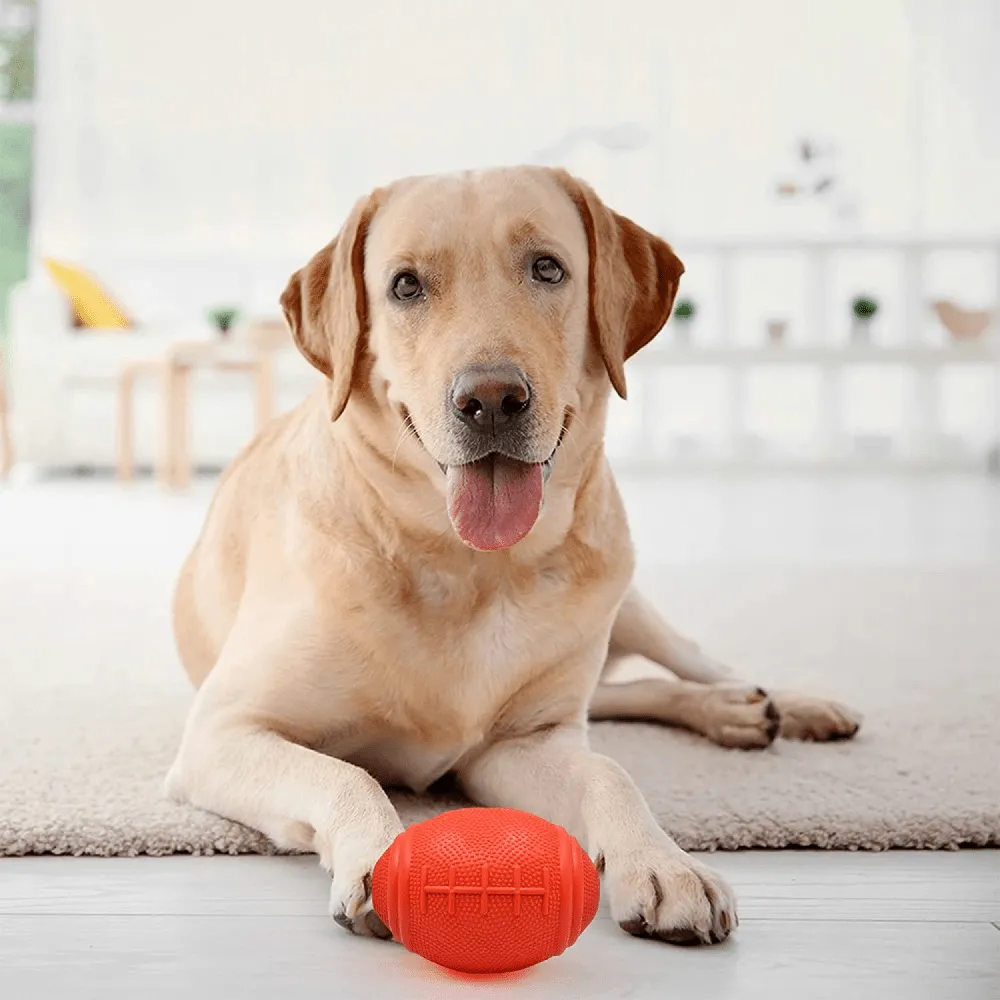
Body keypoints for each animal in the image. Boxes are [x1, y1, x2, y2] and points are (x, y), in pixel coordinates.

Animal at [166, 168, 860, 948]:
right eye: (405, 285)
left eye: (547, 269)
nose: (492, 399)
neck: (472, 566)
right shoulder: (222, 733)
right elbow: (350, 775)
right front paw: (381, 859)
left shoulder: (517, 745)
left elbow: (609, 773)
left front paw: (664, 865)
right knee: (620, 699)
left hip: (627, 608)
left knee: (690, 668)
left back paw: (779, 705)